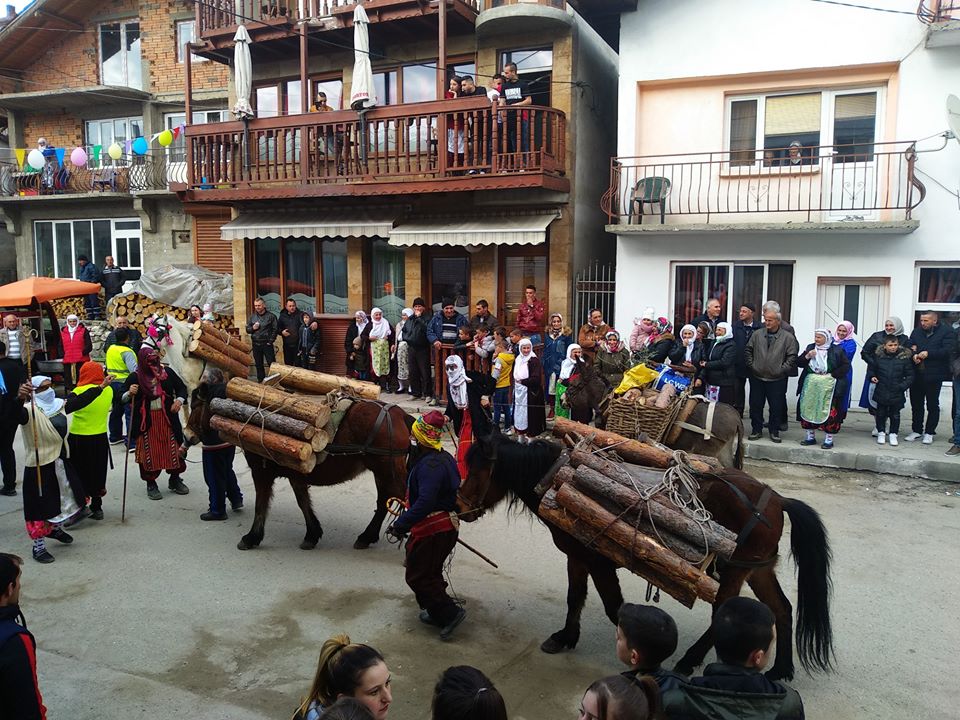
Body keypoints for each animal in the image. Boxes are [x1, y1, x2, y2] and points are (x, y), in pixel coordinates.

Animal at [186, 383, 412, 551]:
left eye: (195, 405)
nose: (187, 436)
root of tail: (400, 415)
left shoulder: (261, 472)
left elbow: (261, 504)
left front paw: (252, 537)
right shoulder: (296, 474)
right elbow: (303, 502)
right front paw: (312, 534)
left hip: (387, 471)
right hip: (382, 472)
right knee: (384, 501)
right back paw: (367, 537)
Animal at [457, 430, 833, 682]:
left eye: (477, 470)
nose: (459, 506)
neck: (555, 478)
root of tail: (779, 500)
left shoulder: (597, 561)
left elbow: (614, 607)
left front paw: (644, 654)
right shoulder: (576, 557)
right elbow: (574, 597)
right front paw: (564, 638)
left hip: (732, 575)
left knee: (724, 616)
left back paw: (689, 662)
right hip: (756, 570)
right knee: (782, 609)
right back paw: (781, 669)